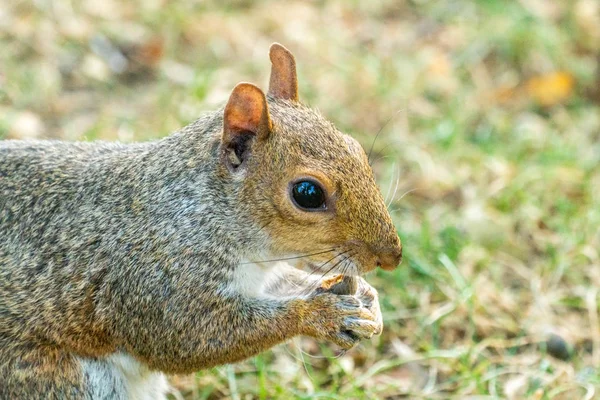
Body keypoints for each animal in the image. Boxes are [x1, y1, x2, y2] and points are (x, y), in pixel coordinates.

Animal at [1, 42, 404, 398]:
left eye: (355, 147)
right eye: (308, 193)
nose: (391, 257)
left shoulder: (259, 275)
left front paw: (367, 299)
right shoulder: (158, 282)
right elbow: (190, 339)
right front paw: (321, 313)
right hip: (53, 376)